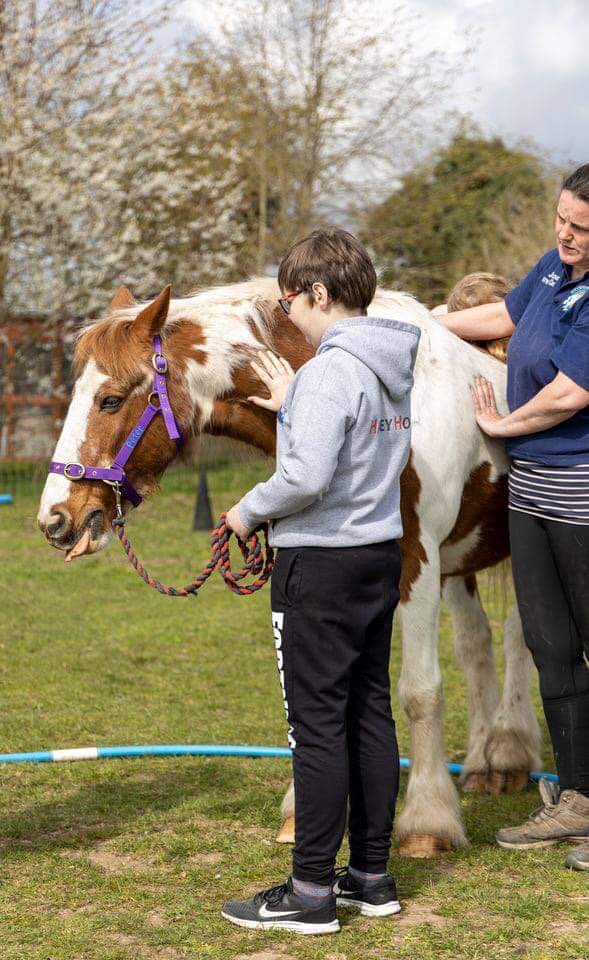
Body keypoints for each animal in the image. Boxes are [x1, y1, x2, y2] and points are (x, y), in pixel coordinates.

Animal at [38, 278, 542, 858]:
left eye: (111, 399)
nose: (56, 518)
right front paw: (303, 810)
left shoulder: (418, 558)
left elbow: (421, 691)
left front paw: (428, 821)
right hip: (461, 561)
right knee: (477, 644)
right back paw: (483, 761)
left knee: (518, 638)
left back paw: (510, 752)